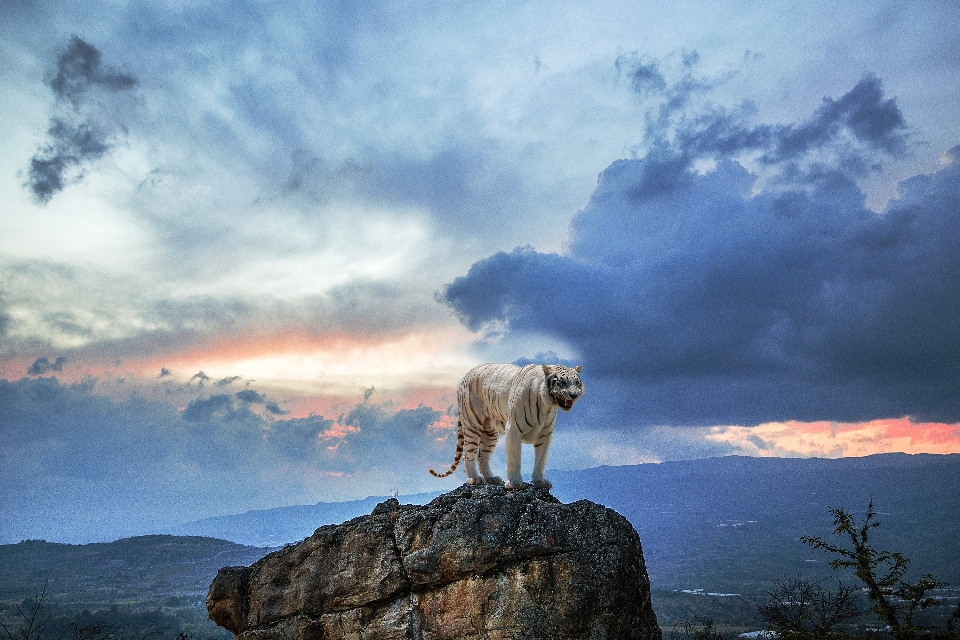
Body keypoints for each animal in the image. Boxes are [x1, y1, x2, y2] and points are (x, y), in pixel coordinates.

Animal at [430, 362, 580, 488]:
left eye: (577, 382)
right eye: (562, 382)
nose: (574, 395)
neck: (547, 405)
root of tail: (466, 374)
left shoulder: (545, 434)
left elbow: (541, 459)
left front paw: (539, 481)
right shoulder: (513, 429)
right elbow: (515, 458)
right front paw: (514, 483)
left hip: (490, 433)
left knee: (482, 456)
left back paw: (491, 478)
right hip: (473, 424)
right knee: (468, 455)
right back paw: (474, 479)